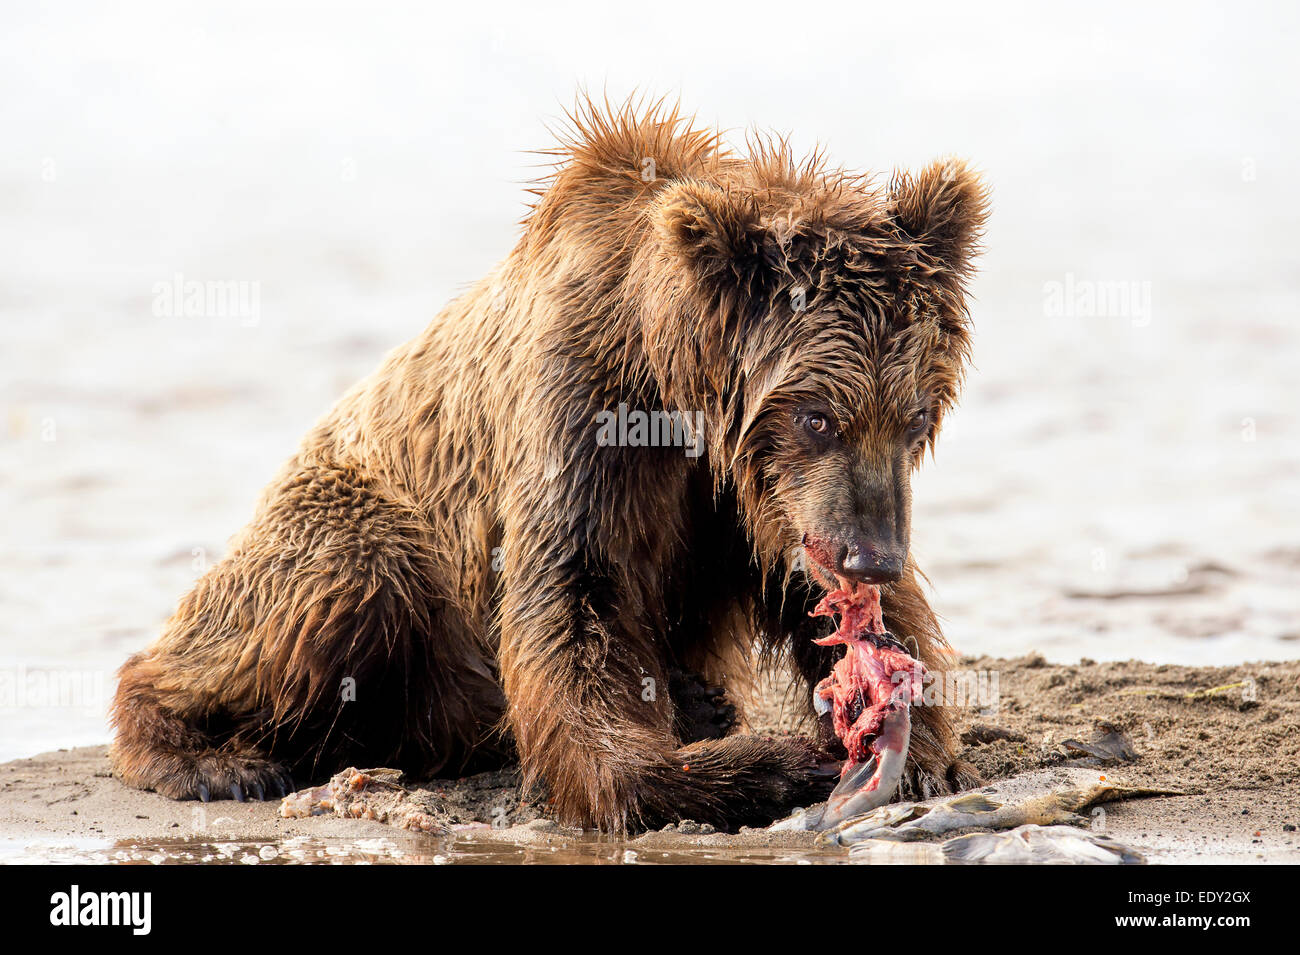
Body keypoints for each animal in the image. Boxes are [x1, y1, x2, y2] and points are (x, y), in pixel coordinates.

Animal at [111, 95, 987, 831]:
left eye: (915, 415)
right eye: (816, 415)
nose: (872, 556)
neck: (673, 382)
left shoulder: (749, 497)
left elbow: (811, 585)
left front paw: (911, 733)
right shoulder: (584, 413)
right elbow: (572, 607)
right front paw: (752, 765)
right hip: (360, 526)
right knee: (329, 589)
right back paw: (210, 757)